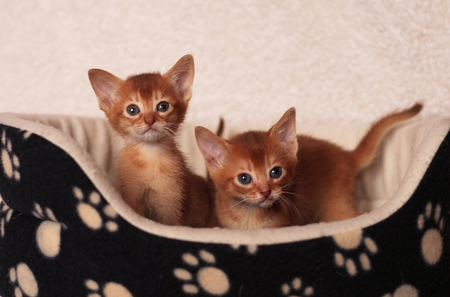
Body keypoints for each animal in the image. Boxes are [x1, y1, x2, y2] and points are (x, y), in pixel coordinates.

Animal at [89, 55, 215, 227]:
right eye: (132, 110)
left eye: (163, 106)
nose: (149, 120)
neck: (150, 157)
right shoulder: (132, 198)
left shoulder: (170, 205)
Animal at [196, 103, 422, 228]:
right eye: (244, 178)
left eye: (275, 172)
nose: (266, 192)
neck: (250, 218)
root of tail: (346, 155)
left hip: (336, 209)